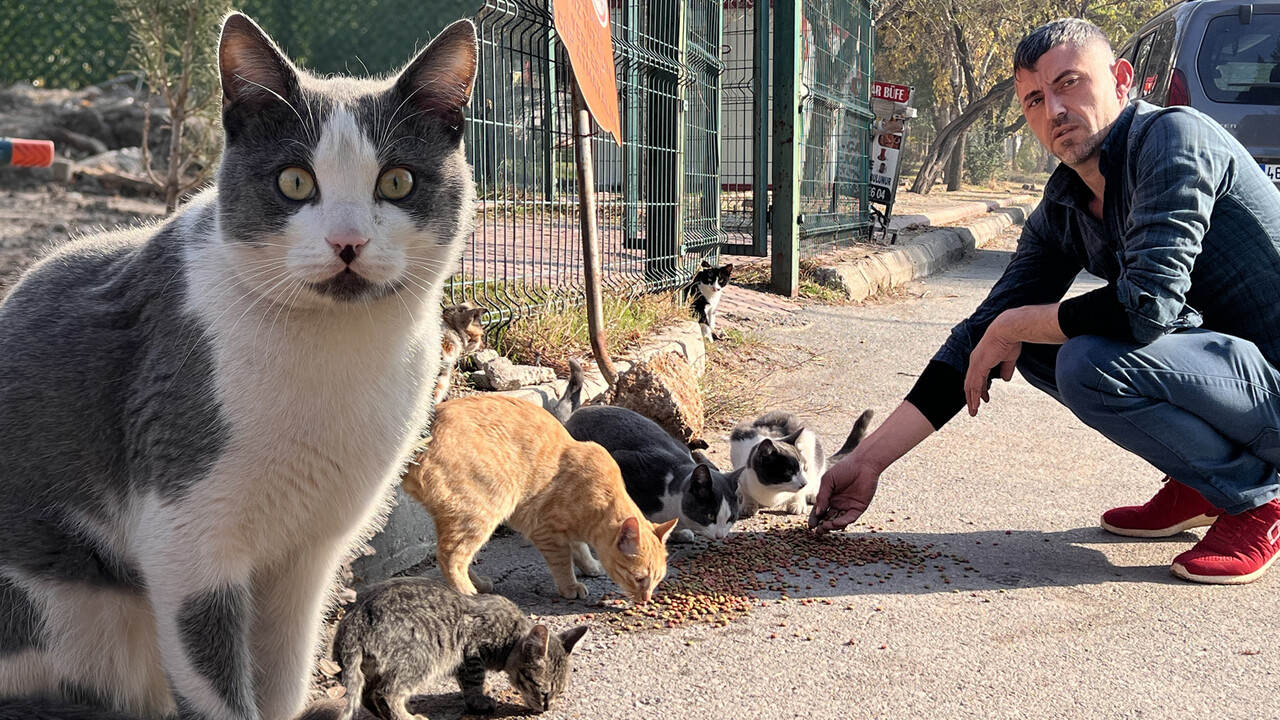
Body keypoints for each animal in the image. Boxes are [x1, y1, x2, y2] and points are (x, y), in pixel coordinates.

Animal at [330, 573, 588, 717]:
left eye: (560, 692)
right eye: (543, 690)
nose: (547, 708)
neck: (510, 635)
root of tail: (355, 617)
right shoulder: (470, 650)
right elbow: (473, 680)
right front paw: (479, 701)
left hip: (374, 666)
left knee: (367, 695)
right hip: (423, 653)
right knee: (385, 693)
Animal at [401, 392, 680, 599]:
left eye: (657, 580)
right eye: (639, 578)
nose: (646, 599)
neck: (599, 498)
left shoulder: (569, 532)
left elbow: (580, 549)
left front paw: (591, 567)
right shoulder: (546, 531)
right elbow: (563, 562)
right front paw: (571, 587)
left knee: (459, 556)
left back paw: (479, 584)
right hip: (483, 511)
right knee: (450, 556)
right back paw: (469, 593)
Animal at [737, 409, 875, 515]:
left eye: (804, 469)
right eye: (789, 471)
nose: (804, 483)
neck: (772, 492)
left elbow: (800, 492)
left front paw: (797, 504)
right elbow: (747, 492)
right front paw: (748, 505)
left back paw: (813, 493)